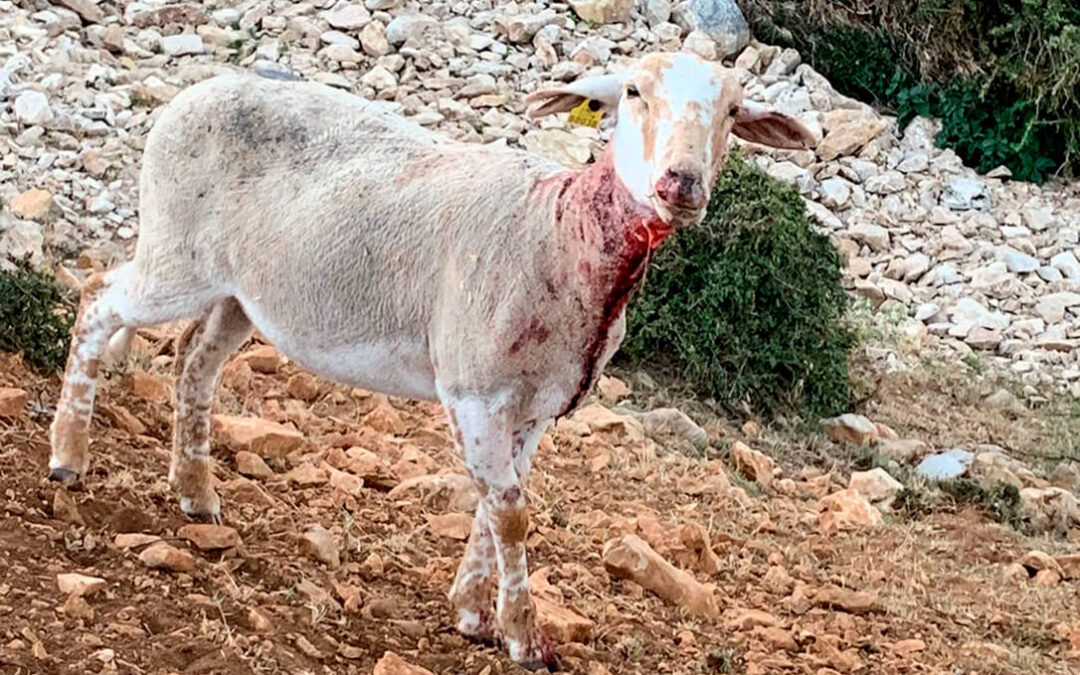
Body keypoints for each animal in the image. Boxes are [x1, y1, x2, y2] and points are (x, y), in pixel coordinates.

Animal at [48, 52, 813, 668]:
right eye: (632, 91)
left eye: (734, 110)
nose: (681, 182)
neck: (563, 235)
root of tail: (194, 92)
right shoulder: (475, 385)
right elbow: (510, 512)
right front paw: (525, 638)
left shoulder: (540, 403)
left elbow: (497, 503)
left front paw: (474, 613)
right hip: (176, 250)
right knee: (98, 303)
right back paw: (68, 458)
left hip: (244, 290)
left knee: (193, 362)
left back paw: (197, 495)